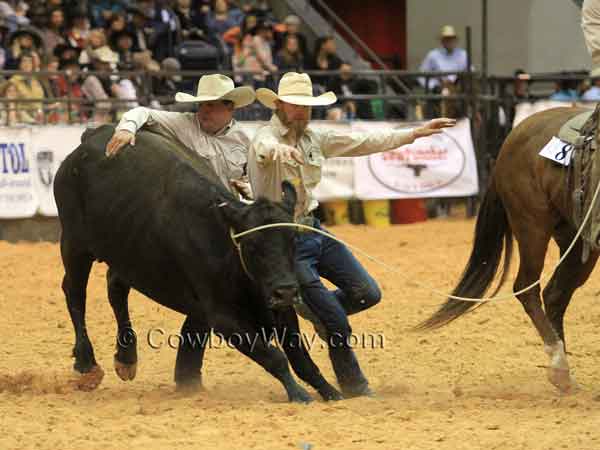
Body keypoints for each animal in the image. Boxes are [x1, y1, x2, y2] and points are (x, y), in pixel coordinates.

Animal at [55, 125, 342, 402]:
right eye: (251, 244)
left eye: (294, 239)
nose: (286, 291)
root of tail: (89, 140)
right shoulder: (223, 318)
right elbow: (275, 357)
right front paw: (298, 393)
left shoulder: (280, 307)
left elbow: (301, 359)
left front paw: (330, 391)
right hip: (74, 242)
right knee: (75, 293)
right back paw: (86, 364)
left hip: (126, 251)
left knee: (115, 287)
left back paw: (126, 358)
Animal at [420, 106, 596, 394]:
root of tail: (511, 138)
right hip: (532, 226)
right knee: (528, 288)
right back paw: (560, 367)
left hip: (577, 238)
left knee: (555, 294)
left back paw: (564, 375)